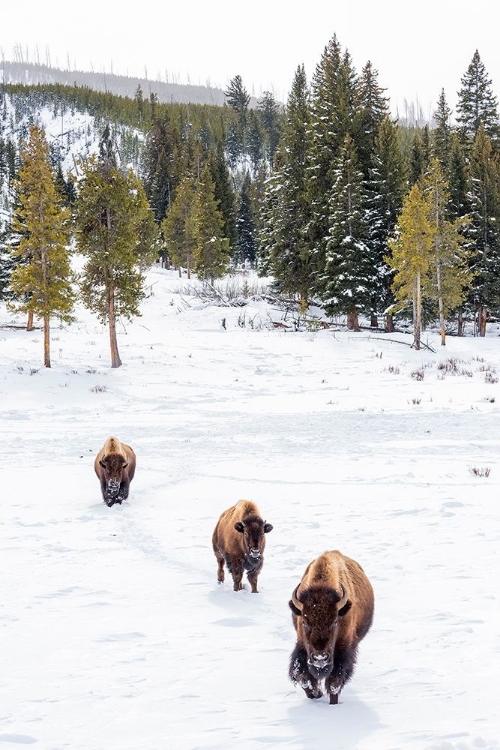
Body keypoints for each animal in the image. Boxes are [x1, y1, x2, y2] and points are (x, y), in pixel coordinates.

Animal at [288, 552, 374, 704]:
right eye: (304, 622)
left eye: (334, 622)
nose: (320, 658)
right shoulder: (301, 646)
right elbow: (302, 677)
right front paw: (316, 694)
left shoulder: (344, 649)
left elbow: (334, 683)